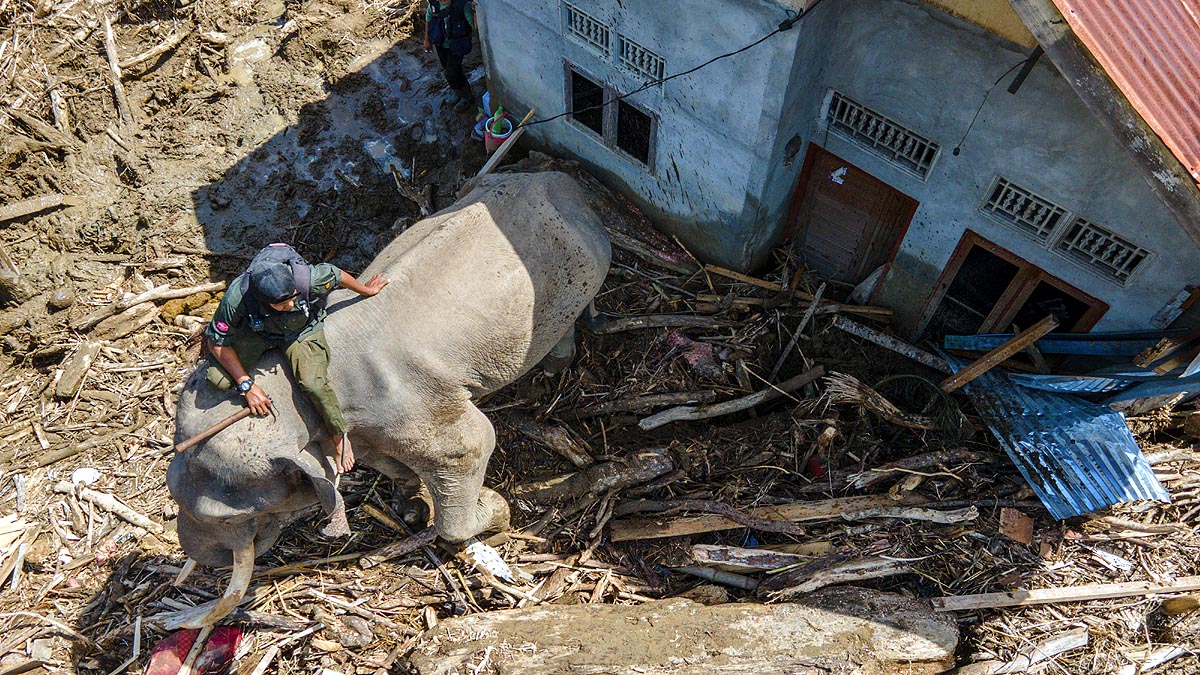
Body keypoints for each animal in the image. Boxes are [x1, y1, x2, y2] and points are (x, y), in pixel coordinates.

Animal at [166, 171, 611, 627]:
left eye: (236, 516)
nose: (199, 557)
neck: (290, 379)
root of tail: (563, 178)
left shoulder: (417, 403)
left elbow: (472, 445)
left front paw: (494, 507)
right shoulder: (361, 424)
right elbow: (377, 457)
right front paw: (410, 502)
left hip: (581, 276)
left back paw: (556, 364)